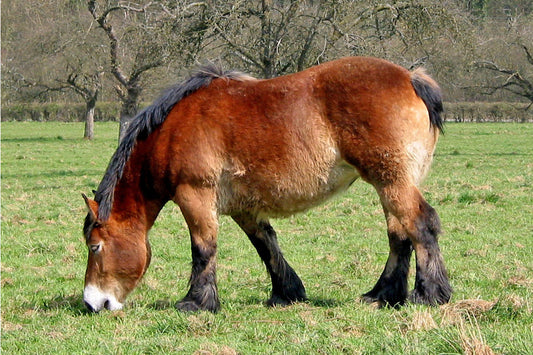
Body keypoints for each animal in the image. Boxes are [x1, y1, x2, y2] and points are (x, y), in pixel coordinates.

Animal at [81, 56, 450, 314]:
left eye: (95, 247)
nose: (91, 303)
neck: (172, 130)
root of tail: (411, 78)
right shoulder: (244, 208)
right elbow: (267, 246)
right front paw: (286, 293)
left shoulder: (195, 195)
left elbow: (203, 248)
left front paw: (196, 302)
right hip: (391, 184)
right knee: (399, 234)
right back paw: (383, 294)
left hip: (391, 182)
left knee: (420, 224)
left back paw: (429, 294)